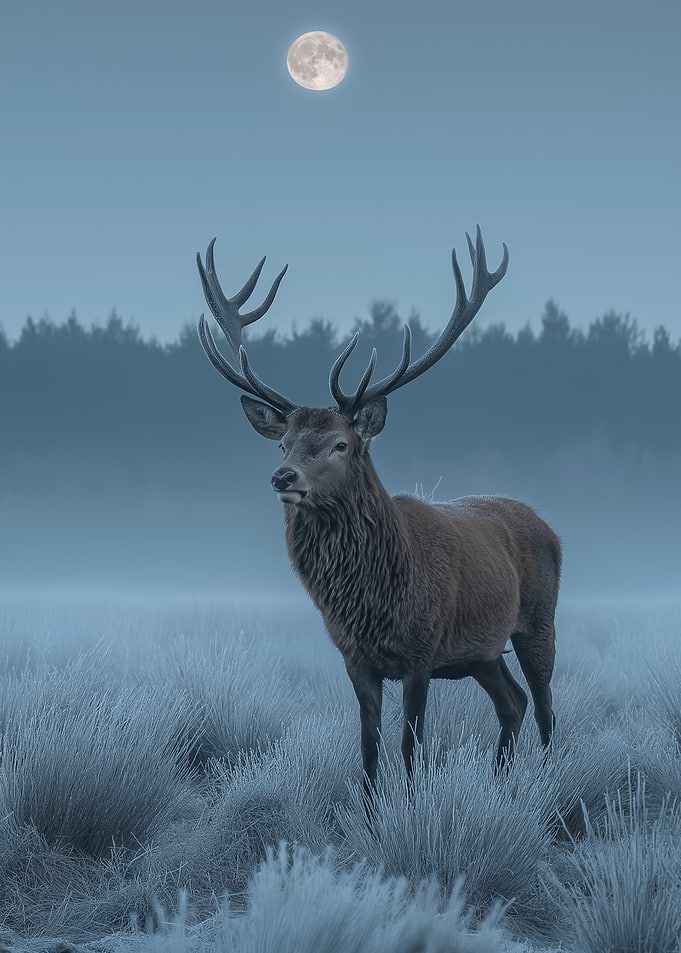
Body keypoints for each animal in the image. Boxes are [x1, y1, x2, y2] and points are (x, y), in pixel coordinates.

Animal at [194, 228, 561, 807]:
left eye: (340, 444)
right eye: (283, 443)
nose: (283, 478)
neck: (374, 597)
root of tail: (548, 525)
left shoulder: (421, 651)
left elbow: (411, 747)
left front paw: (410, 806)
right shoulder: (355, 658)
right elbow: (368, 750)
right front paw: (369, 812)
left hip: (540, 620)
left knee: (545, 706)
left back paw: (548, 784)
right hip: (482, 652)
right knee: (514, 703)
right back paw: (502, 781)